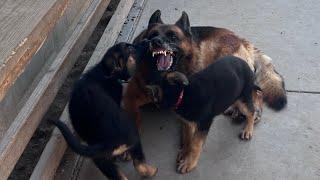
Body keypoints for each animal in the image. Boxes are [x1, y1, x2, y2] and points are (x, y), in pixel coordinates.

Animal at [52, 42, 158, 180]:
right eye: (131, 49)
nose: (149, 41)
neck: (105, 72)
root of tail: (107, 142)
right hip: (134, 136)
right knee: (139, 164)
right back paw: (151, 171)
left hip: (101, 160)